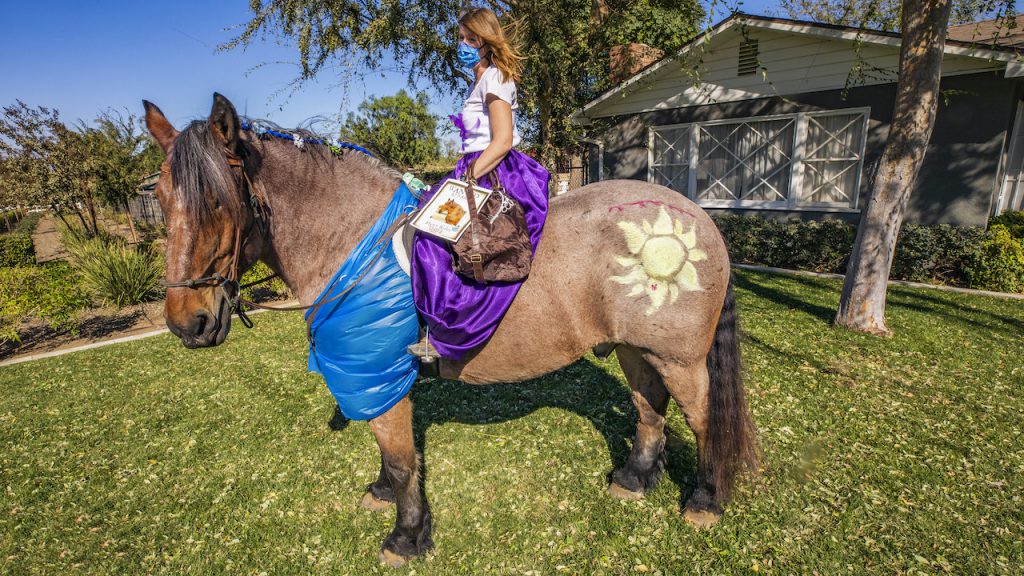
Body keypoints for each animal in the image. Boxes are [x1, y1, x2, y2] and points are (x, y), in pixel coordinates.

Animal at [144, 93, 761, 565]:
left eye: (218, 201)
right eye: (161, 198)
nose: (187, 323)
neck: (354, 244)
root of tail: (697, 215)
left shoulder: (379, 371)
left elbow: (400, 457)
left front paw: (407, 536)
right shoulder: (376, 375)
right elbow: (391, 451)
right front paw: (384, 494)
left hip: (680, 359)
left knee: (703, 419)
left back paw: (705, 500)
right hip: (637, 350)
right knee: (648, 407)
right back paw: (635, 477)